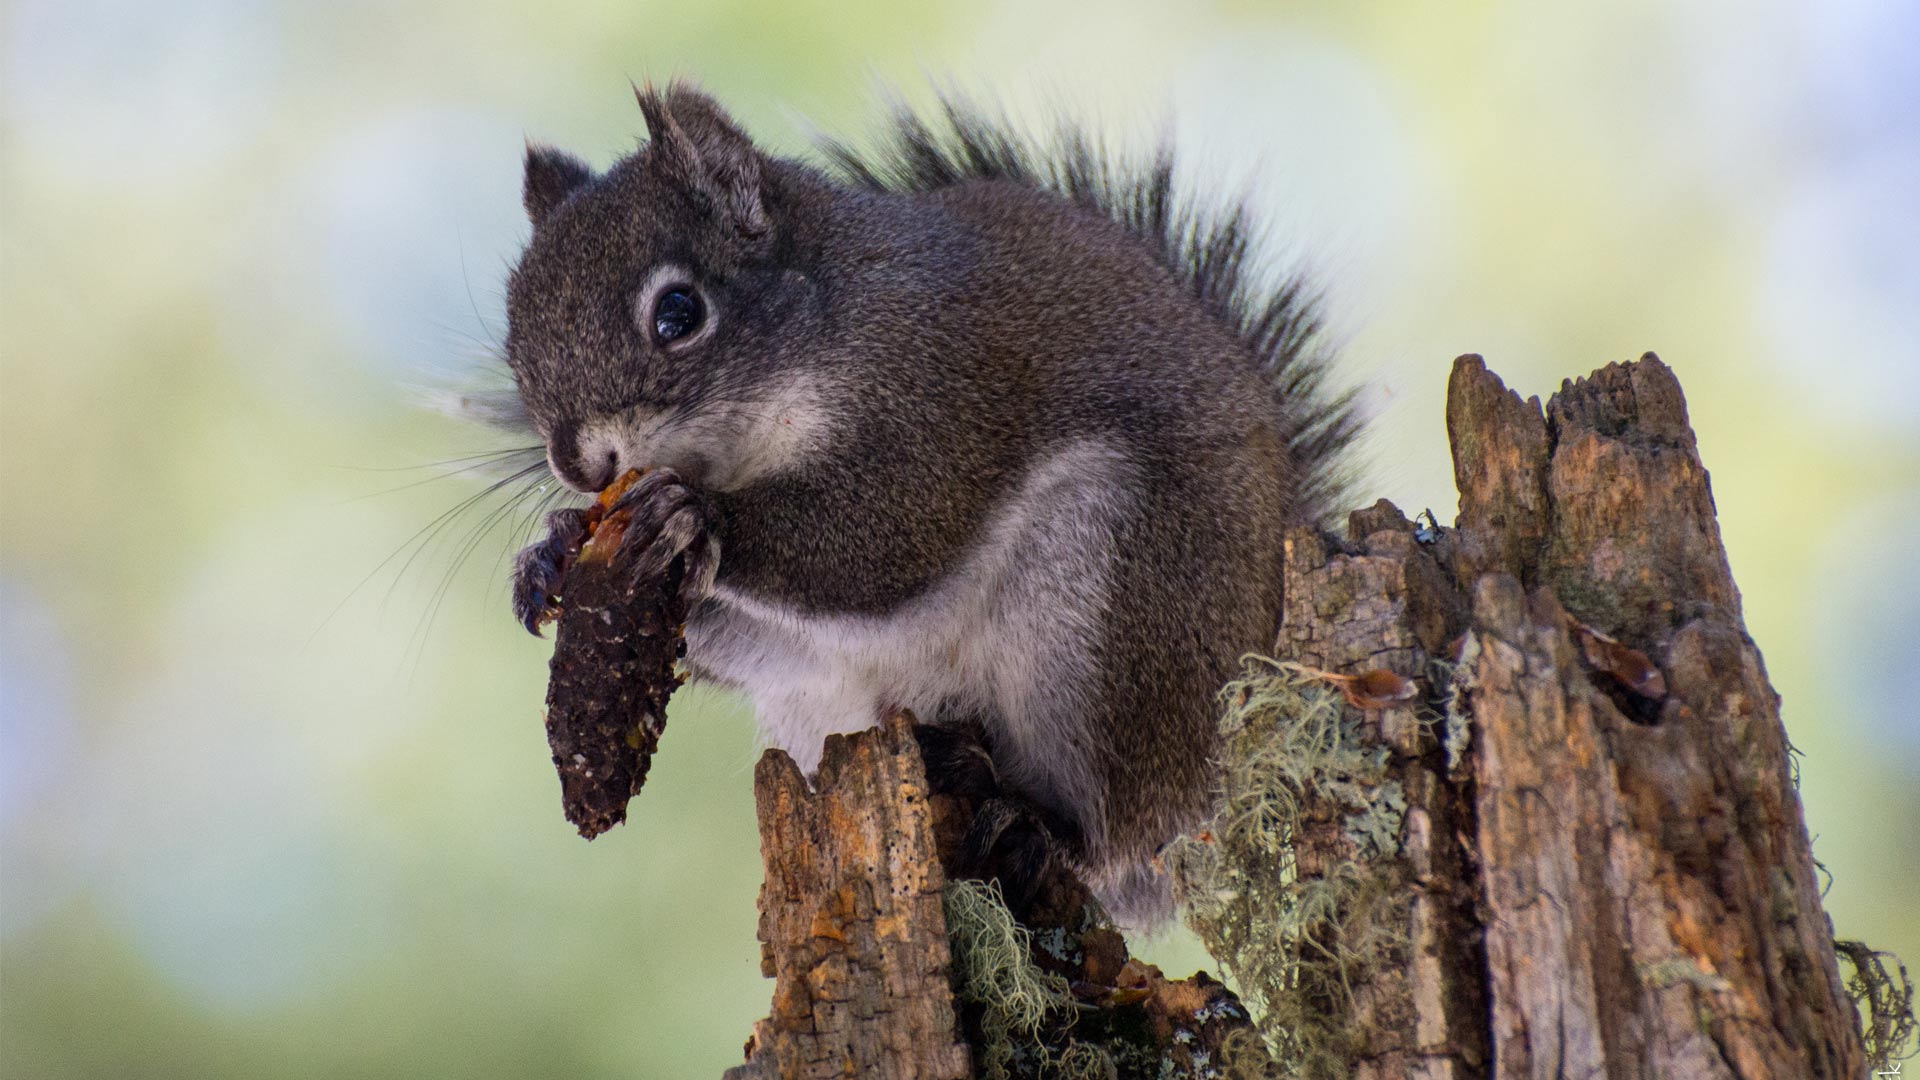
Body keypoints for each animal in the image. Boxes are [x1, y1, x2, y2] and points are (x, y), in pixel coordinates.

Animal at [503, 85, 1359, 926]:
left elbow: (891, 532)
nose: (578, 465)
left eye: (678, 313)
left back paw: (1040, 825)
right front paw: (549, 554)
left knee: (1116, 830)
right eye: (514, 346)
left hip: (1120, 604)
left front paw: (697, 515)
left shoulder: (944, 388)